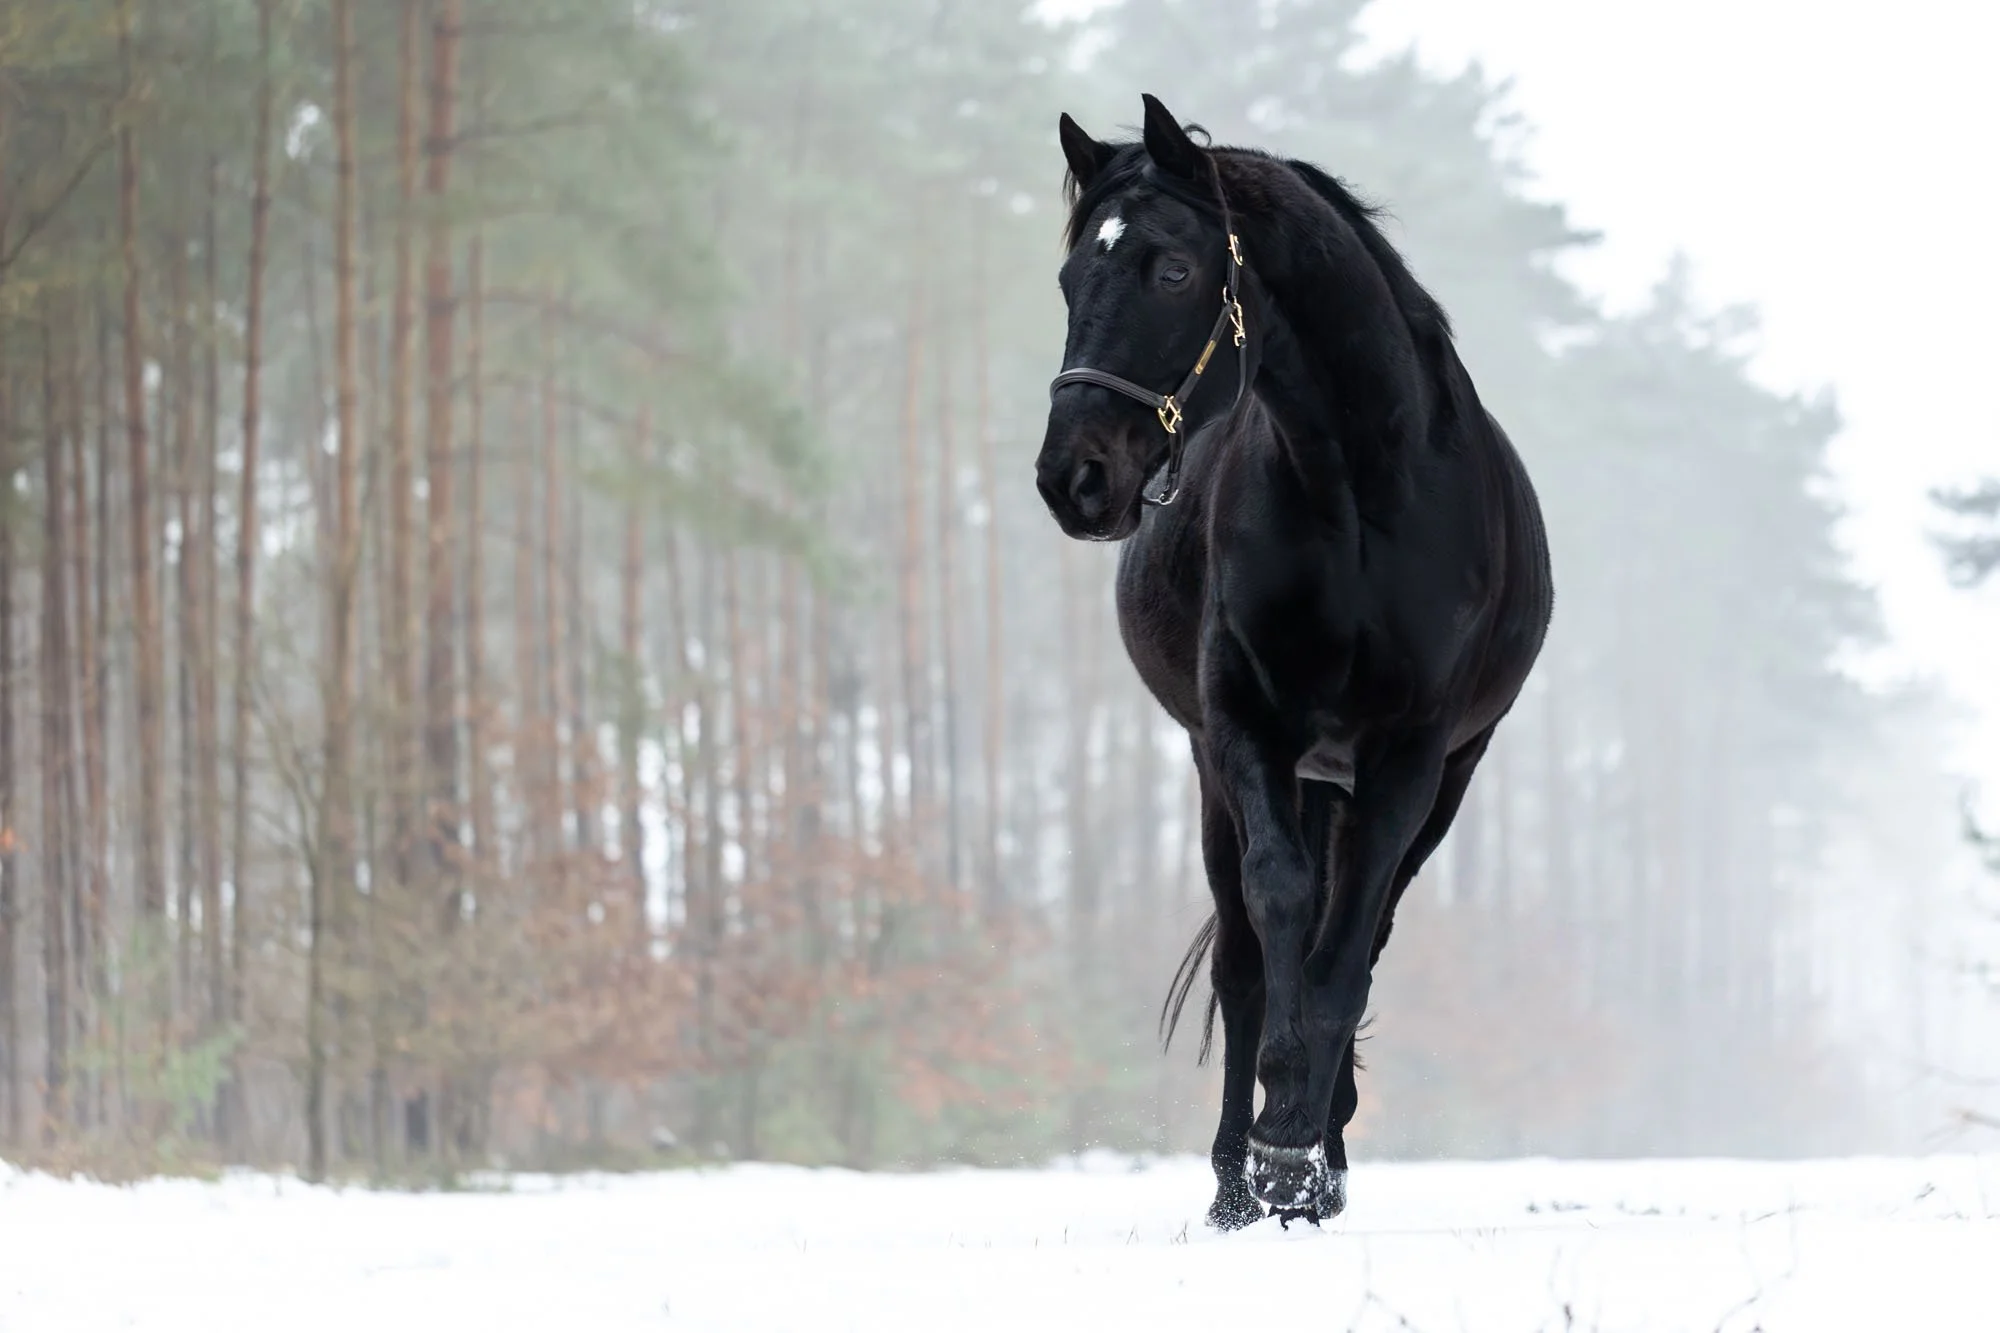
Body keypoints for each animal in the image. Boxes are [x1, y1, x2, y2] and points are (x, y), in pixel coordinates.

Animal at [1034, 95, 1554, 1229]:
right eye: (1069, 276)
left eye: (1173, 270)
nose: (1074, 477)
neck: (1359, 496)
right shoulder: (1245, 730)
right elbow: (1276, 914)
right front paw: (1275, 1147)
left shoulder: (1412, 756)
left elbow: (1348, 940)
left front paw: (1309, 1146)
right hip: (1228, 775)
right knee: (1244, 956)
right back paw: (1240, 1178)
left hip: (1417, 780)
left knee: (1357, 935)